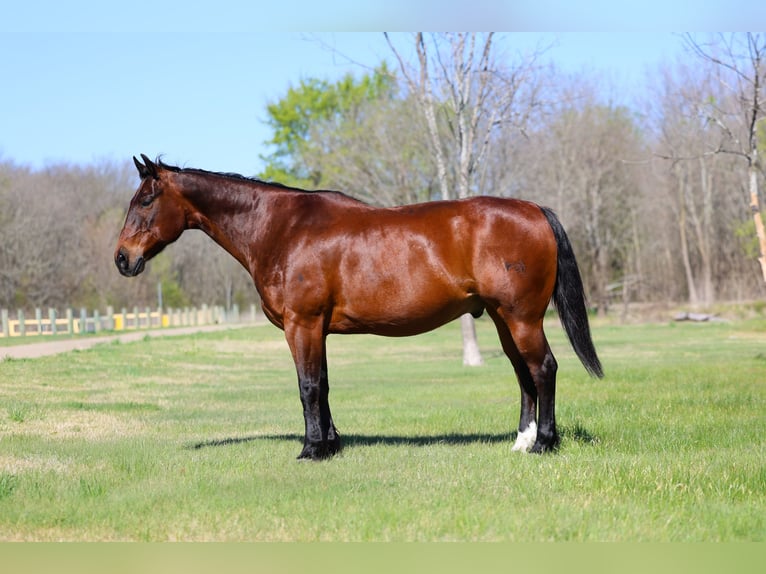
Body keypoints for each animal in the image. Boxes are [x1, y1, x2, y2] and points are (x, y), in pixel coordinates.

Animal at [115, 154, 603, 460]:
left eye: (146, 200)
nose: (122, 259)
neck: (281, 228)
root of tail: (534, 210)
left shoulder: (302, 324)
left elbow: (308, 386)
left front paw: (312, 450)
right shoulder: (316, 328)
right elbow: (324, 385)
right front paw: (331, 443)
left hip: (521, 318)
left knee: (544, 368)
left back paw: (543, 444)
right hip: (504, 319)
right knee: (523, 373)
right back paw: (521, 441)